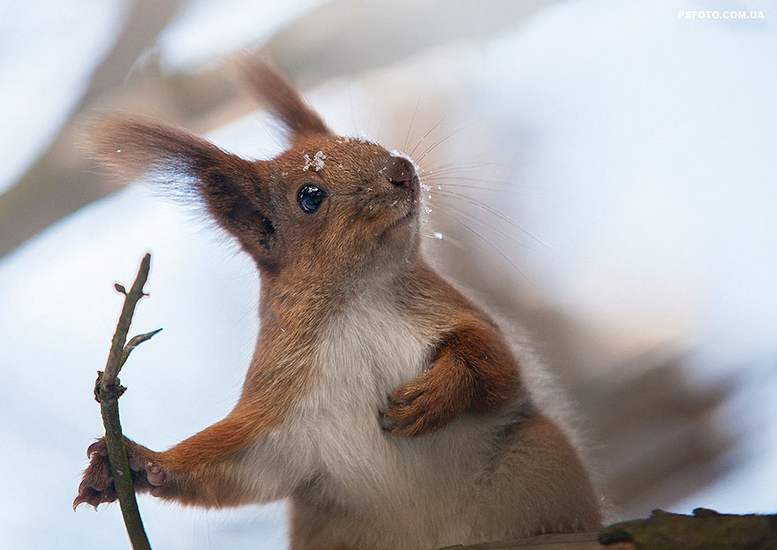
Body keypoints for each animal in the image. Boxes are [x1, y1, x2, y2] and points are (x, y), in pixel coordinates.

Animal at [74, 59, 600, 550]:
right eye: (310, 196)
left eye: (366, 141)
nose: (403, 171)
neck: (355, 298)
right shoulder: (283, 399)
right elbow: (241, 465)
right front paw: (138, 463)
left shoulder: (451, 309)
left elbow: (496, 364)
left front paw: (434, 395)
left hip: (540, 456)